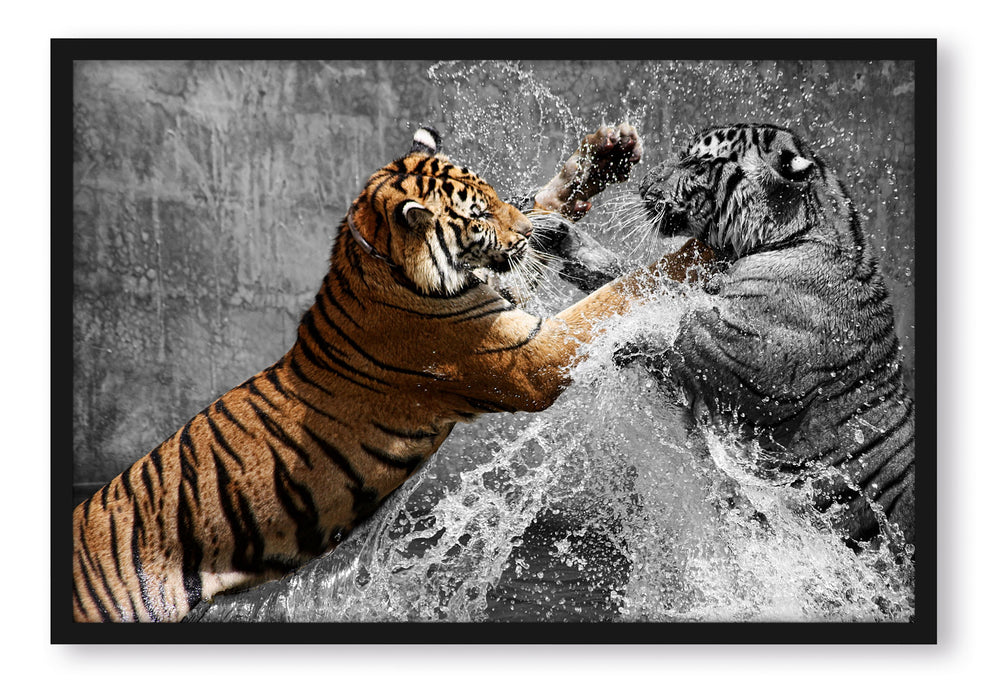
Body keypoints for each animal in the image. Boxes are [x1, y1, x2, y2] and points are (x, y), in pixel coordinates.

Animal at [72, 124, 707, 623]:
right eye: (478, 216)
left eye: (494, 195)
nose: (524, 237)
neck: (379, 260)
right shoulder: (530, 358)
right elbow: (614, 295)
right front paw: (696, 254)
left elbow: (548, 207)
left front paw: (606, 155)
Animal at [538, 123, 915, 547]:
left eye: (698, 162)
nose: (644, 185)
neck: (788, 237)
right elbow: (639, 287)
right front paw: (562, 237)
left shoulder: (736, 351)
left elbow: (667, 323)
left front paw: (615, 344)